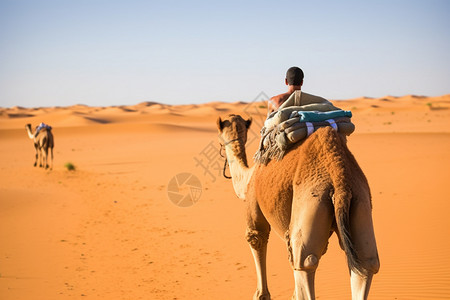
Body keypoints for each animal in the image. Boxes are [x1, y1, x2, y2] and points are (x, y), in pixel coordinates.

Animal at [216, 115, 378, 300]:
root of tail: (339, 179)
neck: (248, 177)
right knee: (366, 262)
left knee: (305, 261)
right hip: (361, 200)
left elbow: (256, 239)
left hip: (309, 199)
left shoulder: (253, 205)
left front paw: (261, 294)